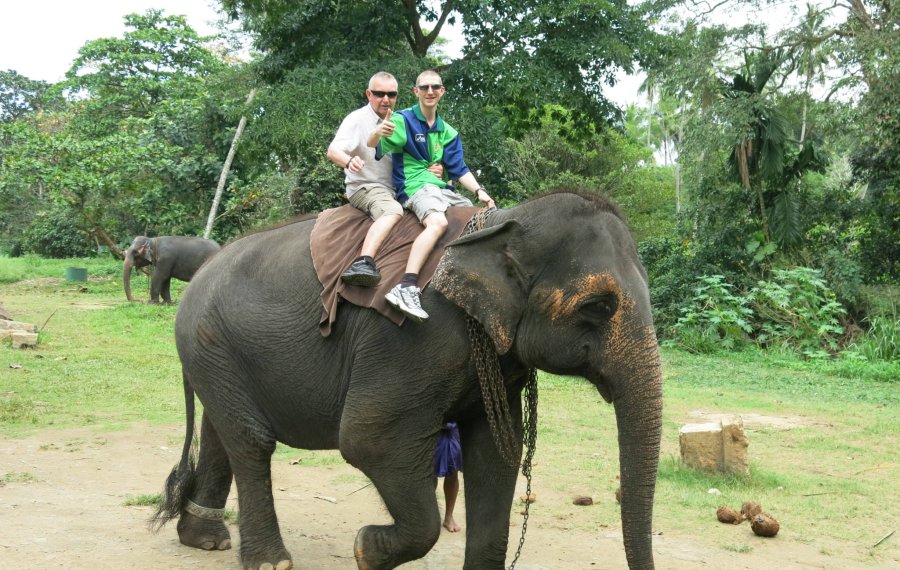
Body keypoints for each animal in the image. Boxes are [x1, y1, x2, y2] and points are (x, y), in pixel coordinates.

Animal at [151, 191, 664, 568]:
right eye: (597, 306)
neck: (500, 225)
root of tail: (202, 272)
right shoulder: (409, 340)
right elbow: (369, 440)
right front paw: (366, 549)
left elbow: (498, 452)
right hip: (209, 340)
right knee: (252, 442)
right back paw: (269, 562)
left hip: (215, 352)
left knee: (222, 432)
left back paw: (205, 540)